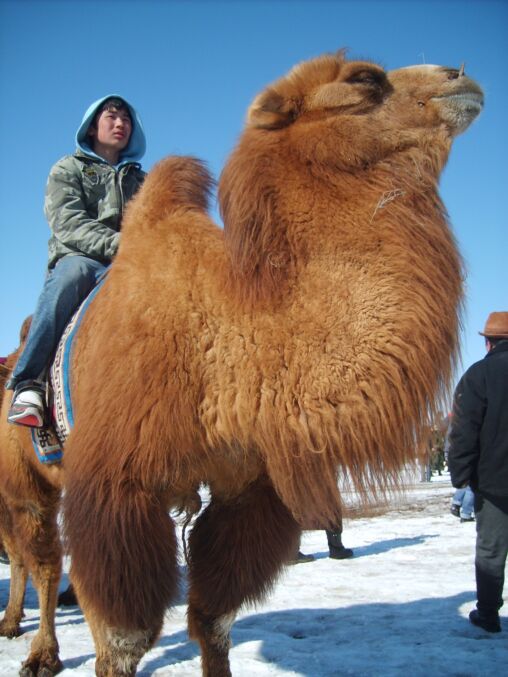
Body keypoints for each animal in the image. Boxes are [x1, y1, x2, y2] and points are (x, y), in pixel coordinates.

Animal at [0, 51, 482, 676]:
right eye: (364, 80)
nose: (460, 76)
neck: (222, 337)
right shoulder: (116, 487)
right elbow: (123, 637)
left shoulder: (247, 487)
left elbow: (214, 617)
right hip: (24, 478)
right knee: (39, 557)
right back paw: (36, 648)